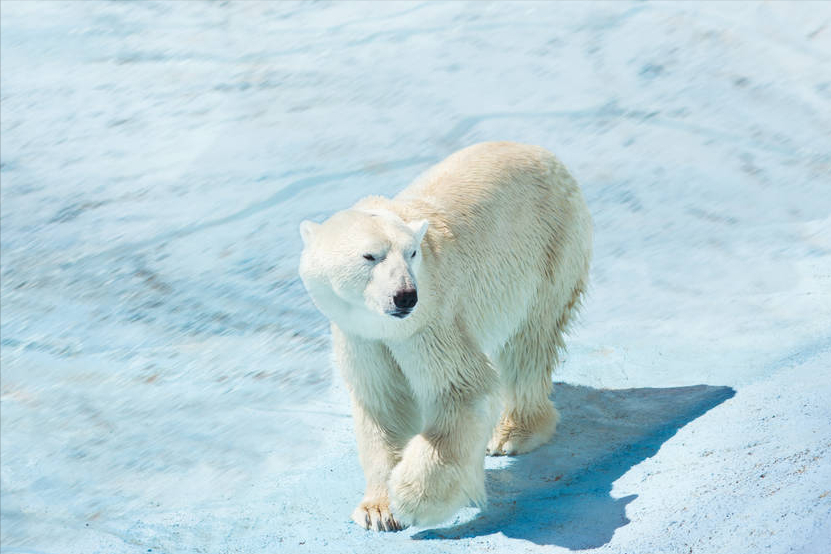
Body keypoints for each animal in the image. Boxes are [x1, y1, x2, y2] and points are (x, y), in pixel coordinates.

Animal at [300, 140, 592, 528]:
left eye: (411, 253)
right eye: (370, 256)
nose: (406, 296)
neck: (383, 323)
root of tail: (546, 155)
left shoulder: (431, 321)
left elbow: (461, 388)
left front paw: (408, 498)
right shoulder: (360, 336)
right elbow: (383, 403)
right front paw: (377, 510)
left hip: (550, 248)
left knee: (528, 343)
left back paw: (512, 433)